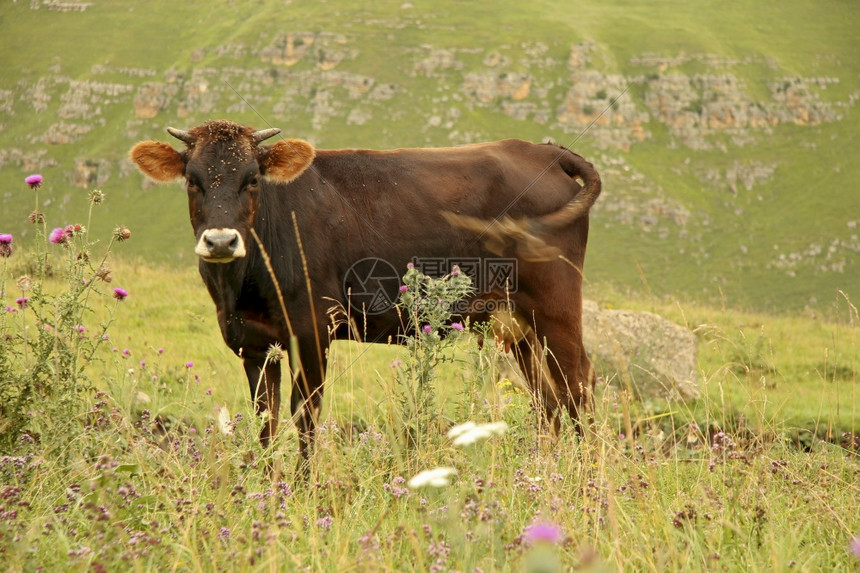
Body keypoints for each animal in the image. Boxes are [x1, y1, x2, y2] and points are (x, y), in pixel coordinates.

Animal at [131, 118, 600, 472]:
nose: (221, 241)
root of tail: (544, 152)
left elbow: (305, 414)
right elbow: (265, 420)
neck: (240, 289)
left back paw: (588, 478)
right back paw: (545, 471)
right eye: (193, 181)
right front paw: (265, 484)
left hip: (554, 307)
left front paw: (302, 488)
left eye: (251, 180)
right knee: (548, 400)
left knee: (578, 385)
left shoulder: (312, 329)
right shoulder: (253, 343)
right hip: (517, 325)